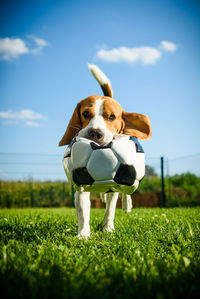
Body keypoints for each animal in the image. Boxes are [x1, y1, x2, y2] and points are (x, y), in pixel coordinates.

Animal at [58, 64, 151, 240]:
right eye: (85, 114)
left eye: (112, 117)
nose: (95, 133)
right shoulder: (81, 182)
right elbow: (83, 211)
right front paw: (83, 234)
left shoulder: (115, 183)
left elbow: (110, 209)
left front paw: (107, 229)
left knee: (125, 192)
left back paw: (126, 204)